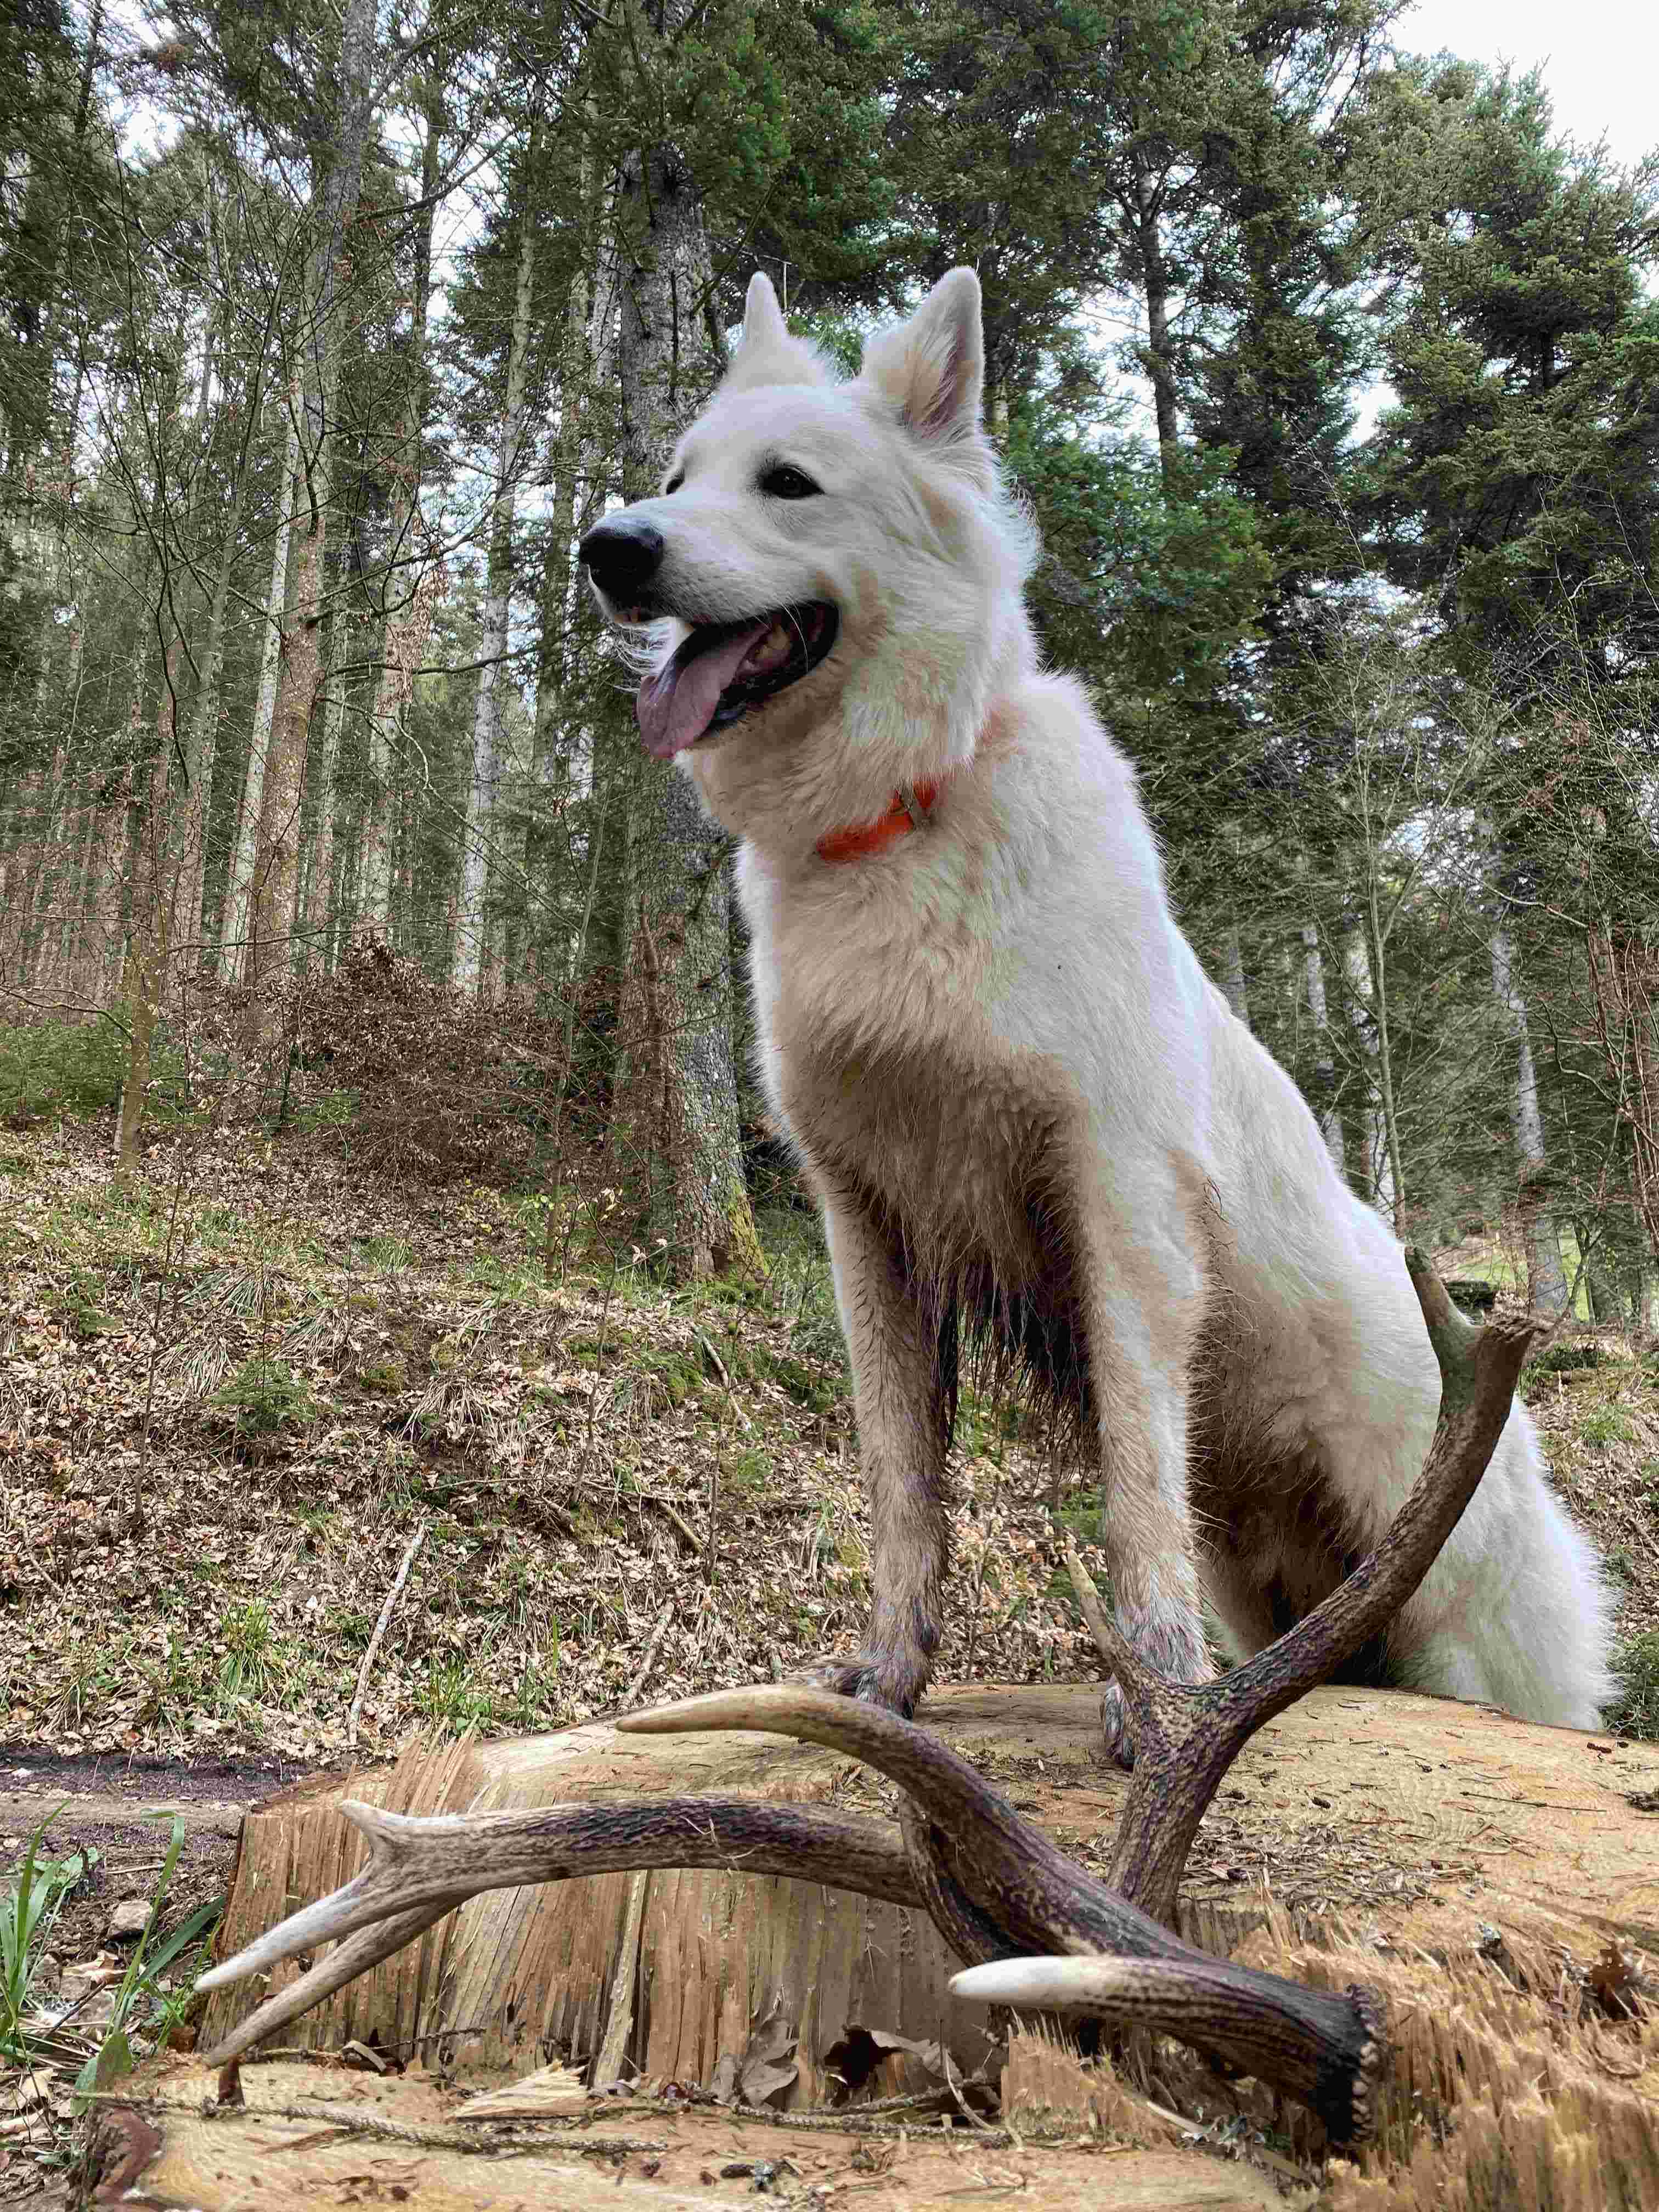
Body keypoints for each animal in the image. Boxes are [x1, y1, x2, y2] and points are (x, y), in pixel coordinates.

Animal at [579, 267, 1619, 1743]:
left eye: (788, 484)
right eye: (676, 480)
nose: (608, 547)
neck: (902, 818)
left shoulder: (1115, 1201)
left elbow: (1135, 1470)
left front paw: (1158, 1689)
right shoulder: (870, 1229)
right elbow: (904, 1487)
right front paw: (889, 1682)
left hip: (1462, 1632)